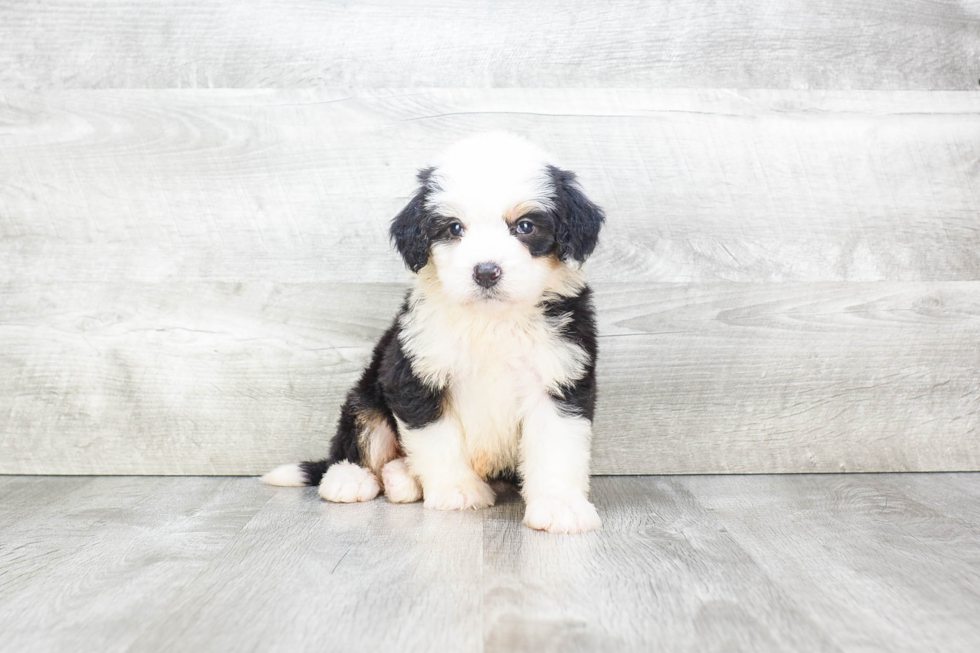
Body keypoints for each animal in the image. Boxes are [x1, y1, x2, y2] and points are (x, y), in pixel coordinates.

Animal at [266, 132, 604, 536]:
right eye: (454, 228)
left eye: (525, 226)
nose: (486, 272)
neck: (490, 321)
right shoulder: (413, 374)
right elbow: (437, 438)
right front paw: (458, 490)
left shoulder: (560, 376)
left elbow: (557, 446)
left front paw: (560, 505)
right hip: (367, 394)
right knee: (360, 437)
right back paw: (350, 479)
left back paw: (400, 478)